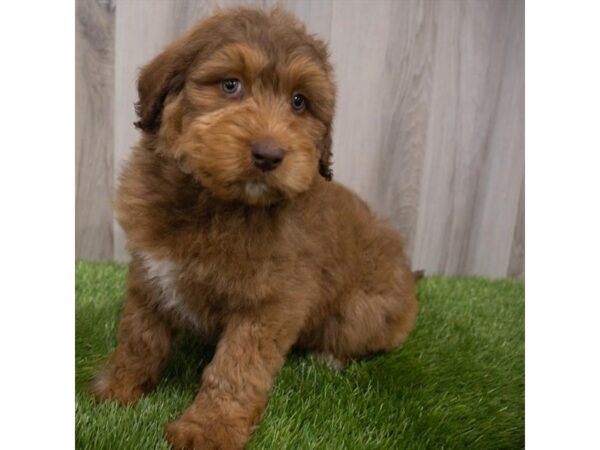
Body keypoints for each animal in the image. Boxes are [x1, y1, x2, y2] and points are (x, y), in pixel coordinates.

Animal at [94, 7, 420, 450]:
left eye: (299, 102)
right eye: (231, 85)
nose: (269, 154)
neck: (212, 203)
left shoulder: (270, 302)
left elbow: (236, 368)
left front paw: (209, 427)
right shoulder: (149, 273)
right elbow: (138, 336)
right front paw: (118, 388)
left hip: (362, 311)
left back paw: (328, 358)